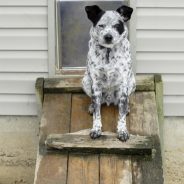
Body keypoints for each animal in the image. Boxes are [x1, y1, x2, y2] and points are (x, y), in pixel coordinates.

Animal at [82, 4, 135, 142]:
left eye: (117, 25)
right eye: (101, 25)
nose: (108, 37)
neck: (108, 52)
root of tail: (109, 99)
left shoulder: (123, 84)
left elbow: (121, 115)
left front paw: (122, 131)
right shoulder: (95, 84)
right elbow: (97, 114)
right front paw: (96, 129)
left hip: (132, 82)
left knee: (124, 103)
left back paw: (127, 107)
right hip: (86, 81)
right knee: (95, 102)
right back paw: (91, 106)